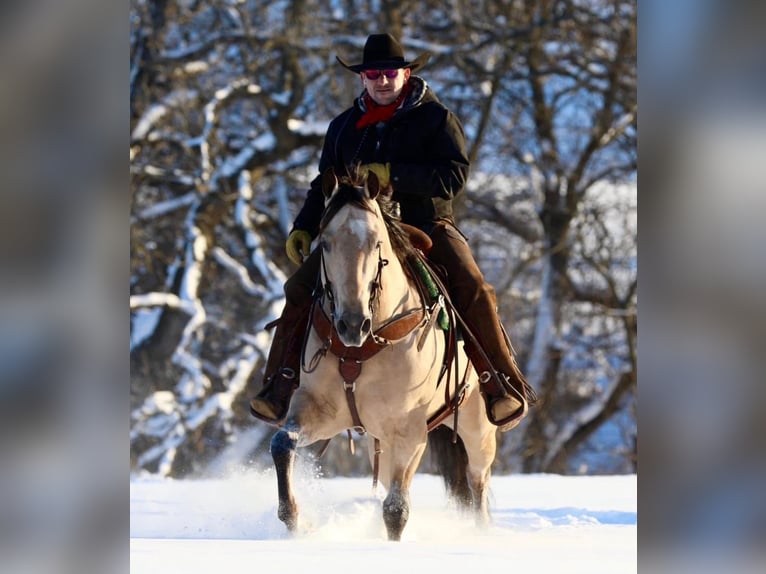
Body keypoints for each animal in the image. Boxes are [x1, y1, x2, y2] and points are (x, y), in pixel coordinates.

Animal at [270, 169, 498, 544]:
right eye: (325, 243)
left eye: (377, 242)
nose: (351, 324)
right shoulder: (318, 410)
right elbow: (281, 443)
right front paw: (292, 519)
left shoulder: (410, 429)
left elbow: (396, 510)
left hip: (477, 427)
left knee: (478, 485)